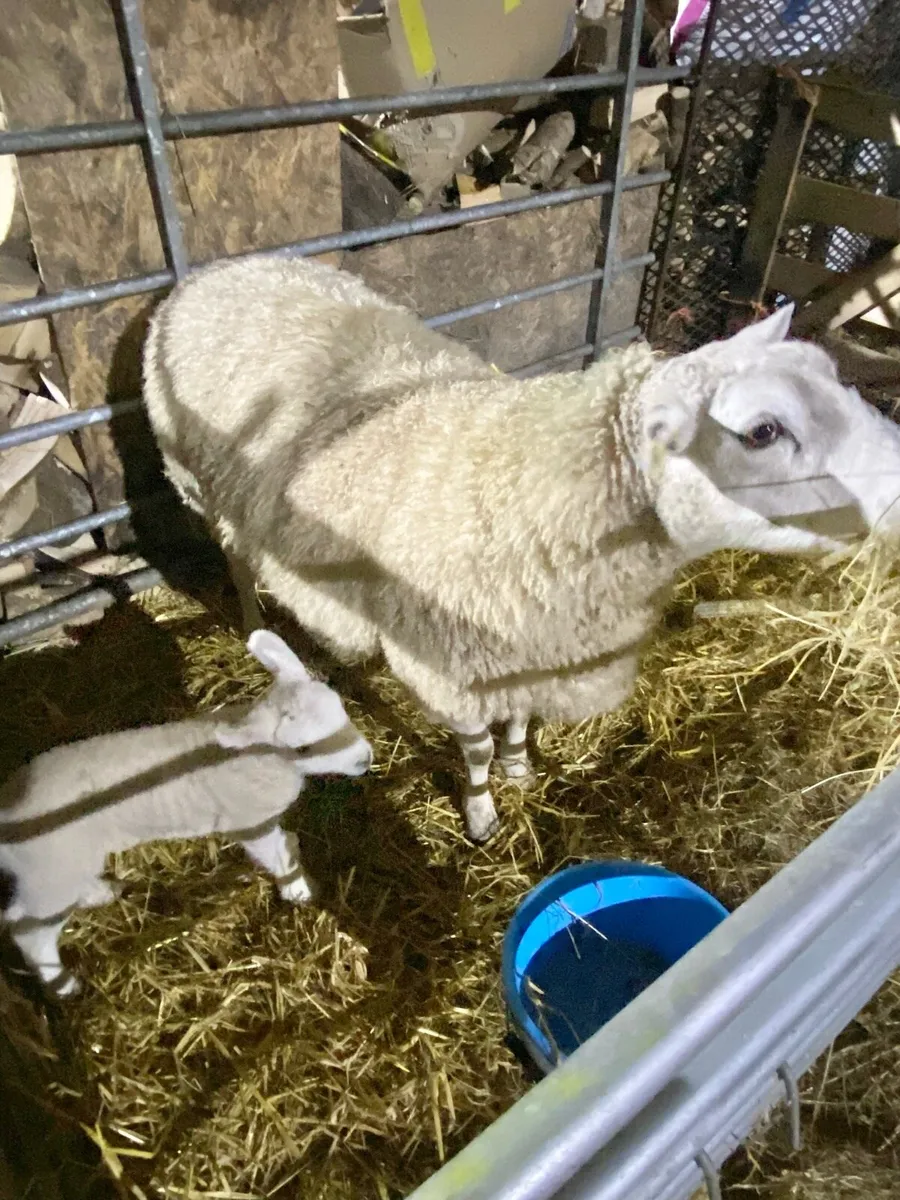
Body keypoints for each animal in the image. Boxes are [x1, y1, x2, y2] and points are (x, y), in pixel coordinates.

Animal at [0, 629, 373, 996]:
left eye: (341, 707)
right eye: (303, 748)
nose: (365, 759)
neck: (263, 757)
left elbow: (286, 842)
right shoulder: (248, 822)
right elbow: (276, 855)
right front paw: (298, 891)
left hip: (63, 866)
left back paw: (101, 893)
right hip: (52, 870)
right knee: (26, 930)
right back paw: (62, 985)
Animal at [141, 254, 900, 844]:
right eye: (764, 430)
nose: (897, 481)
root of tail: (223, 268)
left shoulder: (532, 640)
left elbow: (522, 718)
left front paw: (519, 767)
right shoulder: (450, 666)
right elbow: (474, 750)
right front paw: (482, 811)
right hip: (200, 483)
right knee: (237, 559)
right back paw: (252, 624)